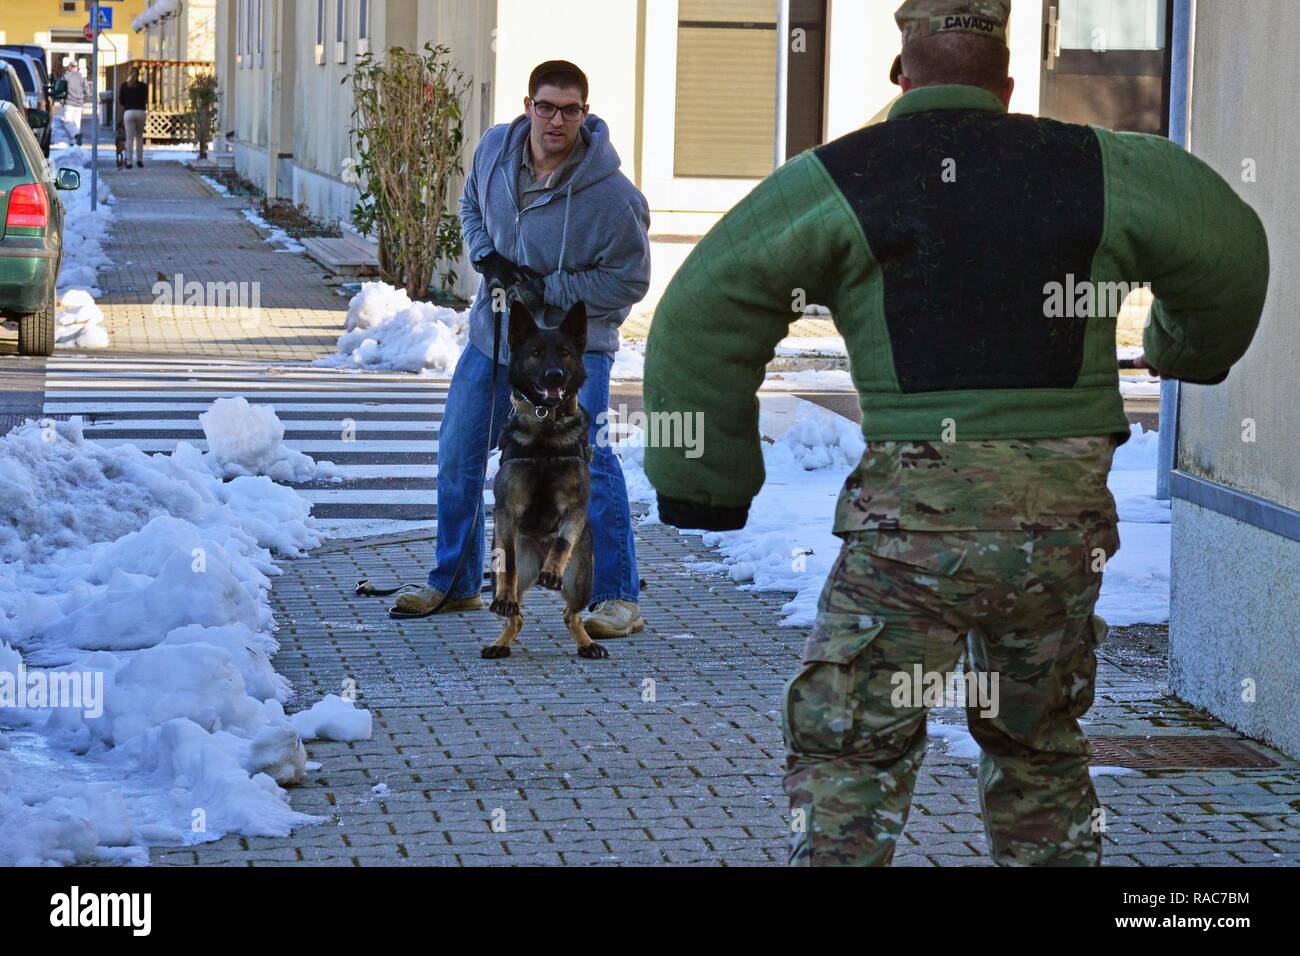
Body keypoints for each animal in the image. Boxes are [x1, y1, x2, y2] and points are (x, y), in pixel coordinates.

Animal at [486, 303, 605, 660]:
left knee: (571, 613)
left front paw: (552, 569)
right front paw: (506, 597)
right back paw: (501, 639)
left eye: (564, 353)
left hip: (580, 582)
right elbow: (509, 566)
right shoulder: (506, 512)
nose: (555, 375)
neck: (546, 428)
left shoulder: (576, 508)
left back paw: (586, 642)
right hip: (510, 570)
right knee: (516, 613)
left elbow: (563, 540)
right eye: (536, 353)